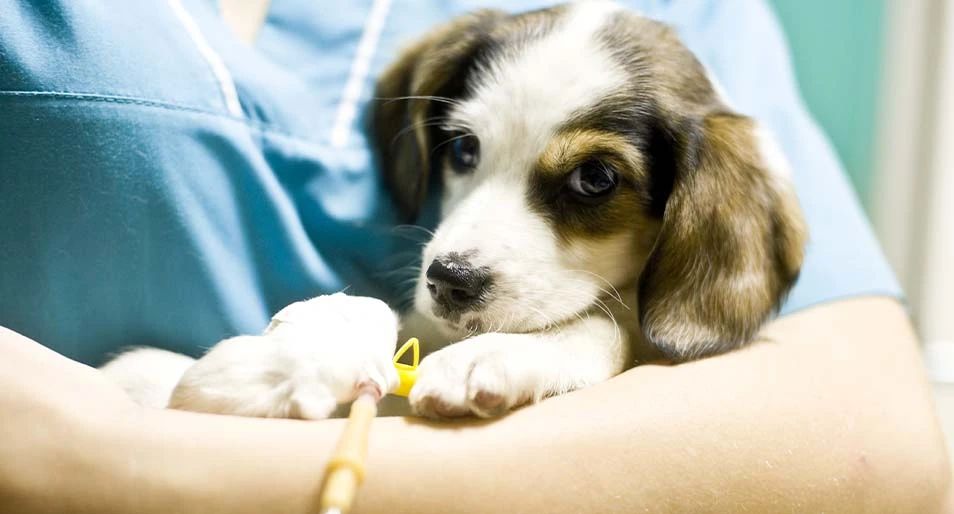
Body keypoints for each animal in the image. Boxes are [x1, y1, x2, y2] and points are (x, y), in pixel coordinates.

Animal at [102, 2, 804, 418]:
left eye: (596, 178)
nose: (449, 281)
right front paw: (294, 354)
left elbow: (607, 327)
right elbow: (372, 311)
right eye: (464, 149)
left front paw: (502, 356)